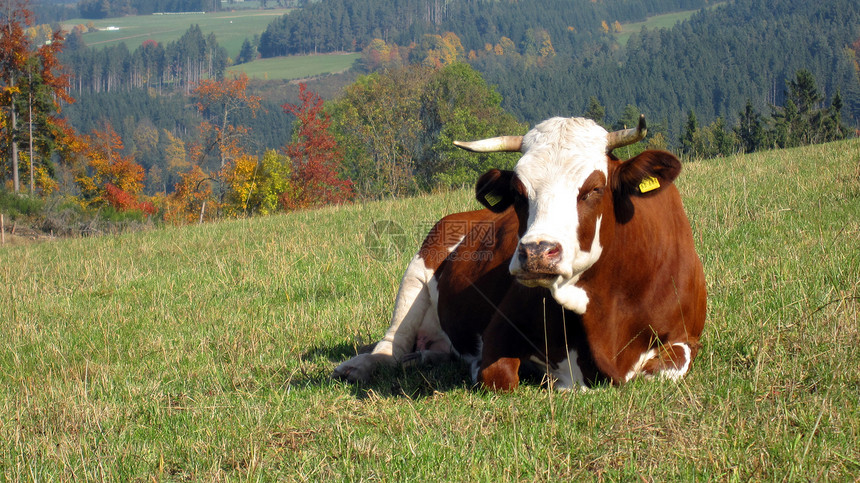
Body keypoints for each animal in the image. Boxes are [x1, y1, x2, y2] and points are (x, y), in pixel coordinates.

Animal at [332, 115, 708, 392]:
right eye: (517, 191)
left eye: (594, 189)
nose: (537, 252)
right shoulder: (499, 329)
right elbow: (496, 375)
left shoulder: (687, 337)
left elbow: (661, 370)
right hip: (416, 273)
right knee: (391, 345)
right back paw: (357, 366)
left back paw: (424, 359)